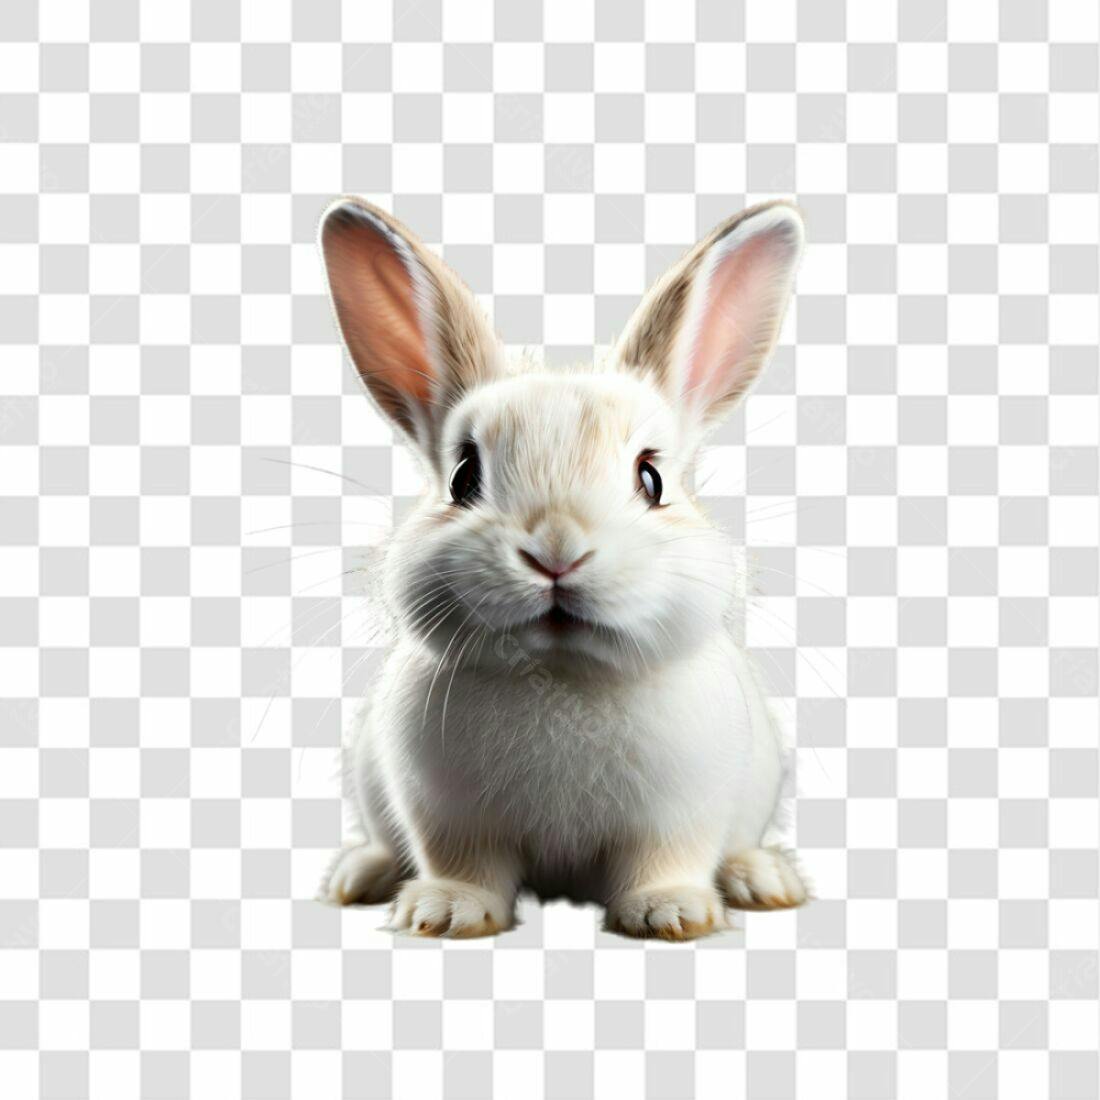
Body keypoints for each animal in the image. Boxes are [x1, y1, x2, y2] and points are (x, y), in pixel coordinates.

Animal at [316, 195, 809, 940]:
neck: (562, 672)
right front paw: (447, 912)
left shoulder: (678, 815)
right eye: (463, 478)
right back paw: (358, 874)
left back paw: (763, 878)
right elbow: (462, 863)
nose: (556, 551)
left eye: (652, 479)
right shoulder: (447, 815)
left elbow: (667, 858)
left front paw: (670, 913)